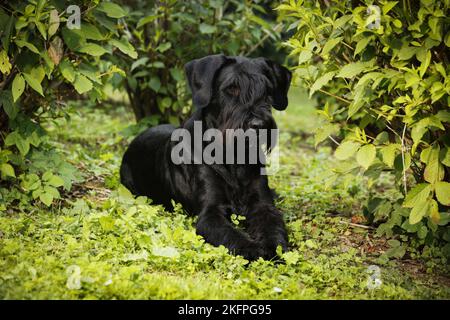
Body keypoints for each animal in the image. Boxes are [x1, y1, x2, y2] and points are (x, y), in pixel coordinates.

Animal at [120, 54, 292, 260]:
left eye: (266, 91)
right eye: (232, 88)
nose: (258, 125)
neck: (233, 156)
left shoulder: (262, 205)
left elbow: (273, 226)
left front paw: (274, 248)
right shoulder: (210, 213)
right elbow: (231, 234)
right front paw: (253, 249)